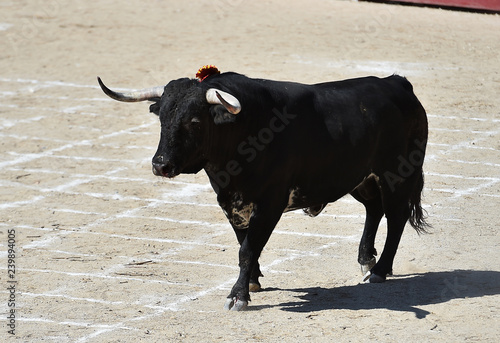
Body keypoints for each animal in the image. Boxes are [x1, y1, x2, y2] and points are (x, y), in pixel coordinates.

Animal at [98, 72, 430, 312]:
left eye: (194, 120)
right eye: (162, 118)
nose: (161, 164)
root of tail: (397, 83)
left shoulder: (270, 203)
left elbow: (247, 249)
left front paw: (238, 296)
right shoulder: (231, 202)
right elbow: (244, 243)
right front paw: (253, 281)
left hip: (397, 175)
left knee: (396, 217)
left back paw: (380, 270)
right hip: (360, 178)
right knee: (374, 209)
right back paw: (365, 259)